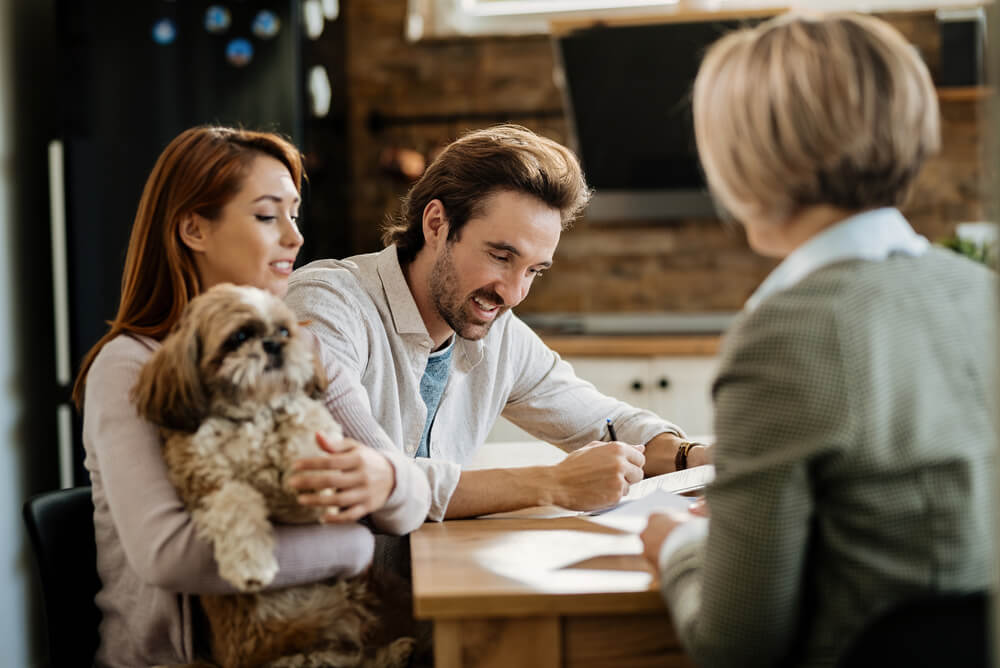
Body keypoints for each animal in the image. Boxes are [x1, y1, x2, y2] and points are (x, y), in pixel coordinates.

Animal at [134, 284, 414, 668]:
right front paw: (250, 563)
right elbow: (235, 500)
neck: (252, 415)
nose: (273, 344)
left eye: (283, 331)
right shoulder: (203, 484)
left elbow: (304, 422)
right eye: (239, 337)